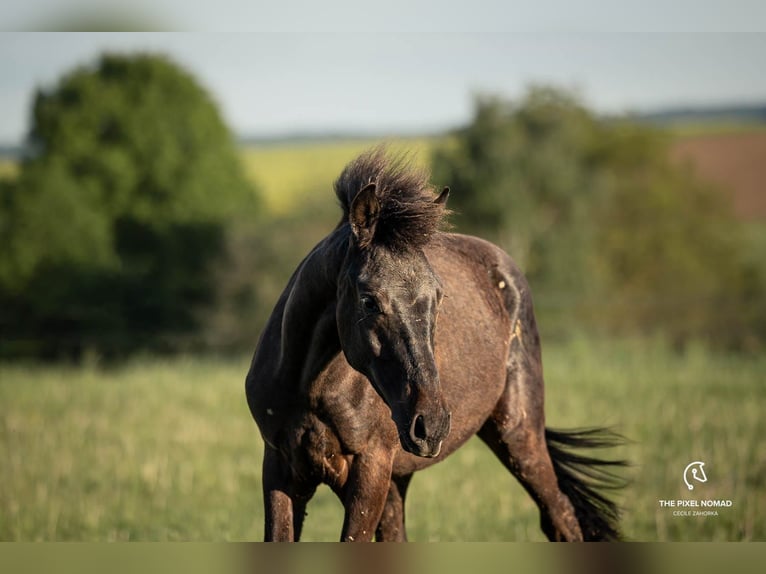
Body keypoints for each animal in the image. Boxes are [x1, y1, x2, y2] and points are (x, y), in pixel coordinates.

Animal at [244, 146, 624, 544]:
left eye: (439, 297)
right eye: (369, 300)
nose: (432, 425)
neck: (311, 388)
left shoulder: (370, 469)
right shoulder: (280, 469)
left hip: (518, 434)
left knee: (560, 514)